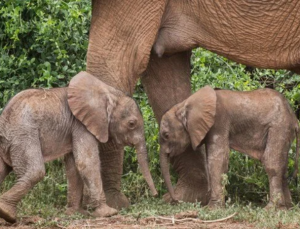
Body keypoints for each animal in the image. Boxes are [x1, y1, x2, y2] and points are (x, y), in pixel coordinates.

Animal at [0, 72, 157, 224]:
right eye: (131, 123)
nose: (155, 195)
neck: (107, 92)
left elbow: (74, 167)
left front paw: (76, 213)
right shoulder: (81, 125)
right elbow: (86, 163)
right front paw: (109, 213)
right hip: (23, 134)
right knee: (35, 172)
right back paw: (7, 213)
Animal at [159, 86, 298, 209]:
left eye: (166, 135)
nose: (175, 200)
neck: (185, 104)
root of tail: (295, 119)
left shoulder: (219, 122)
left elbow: (217, 160)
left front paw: (212, 208)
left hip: (279, 126)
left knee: (271, 163)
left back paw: (271, 209)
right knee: (282, 166)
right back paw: (286, 208)